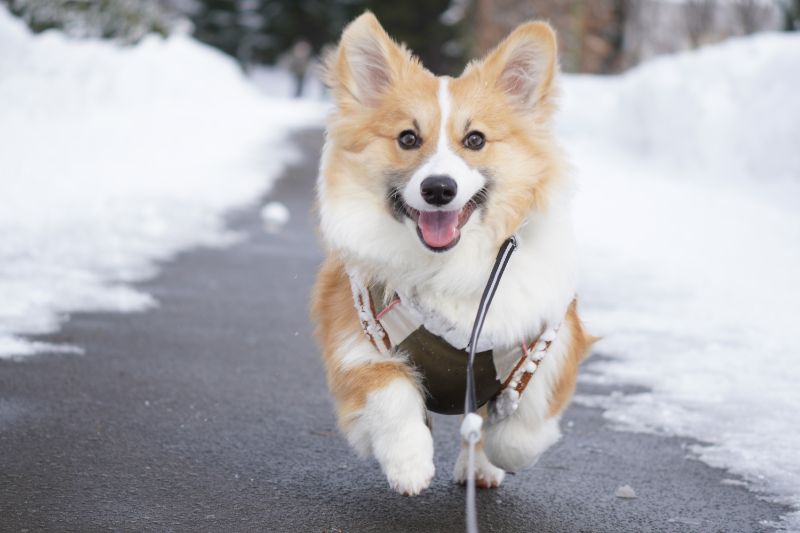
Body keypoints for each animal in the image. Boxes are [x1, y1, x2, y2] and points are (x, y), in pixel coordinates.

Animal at [312, 12, 592, 494]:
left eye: (475, 139)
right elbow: (390, 391)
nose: (439, 189)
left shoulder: (547, 342)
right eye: (408, 138)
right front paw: (407, 462)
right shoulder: (358, 335)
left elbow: (519, 428)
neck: (451, 263)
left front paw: (498, 452)